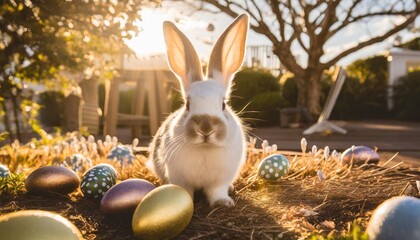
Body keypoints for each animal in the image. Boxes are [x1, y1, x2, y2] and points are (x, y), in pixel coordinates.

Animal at [148, 14, 248, 207]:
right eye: (187, 104)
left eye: (223, 104)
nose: (206, 128)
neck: (204, 148)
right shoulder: (180, 178)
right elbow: (184, 191)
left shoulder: (221, 180)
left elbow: (217, 191)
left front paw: (223, 202)